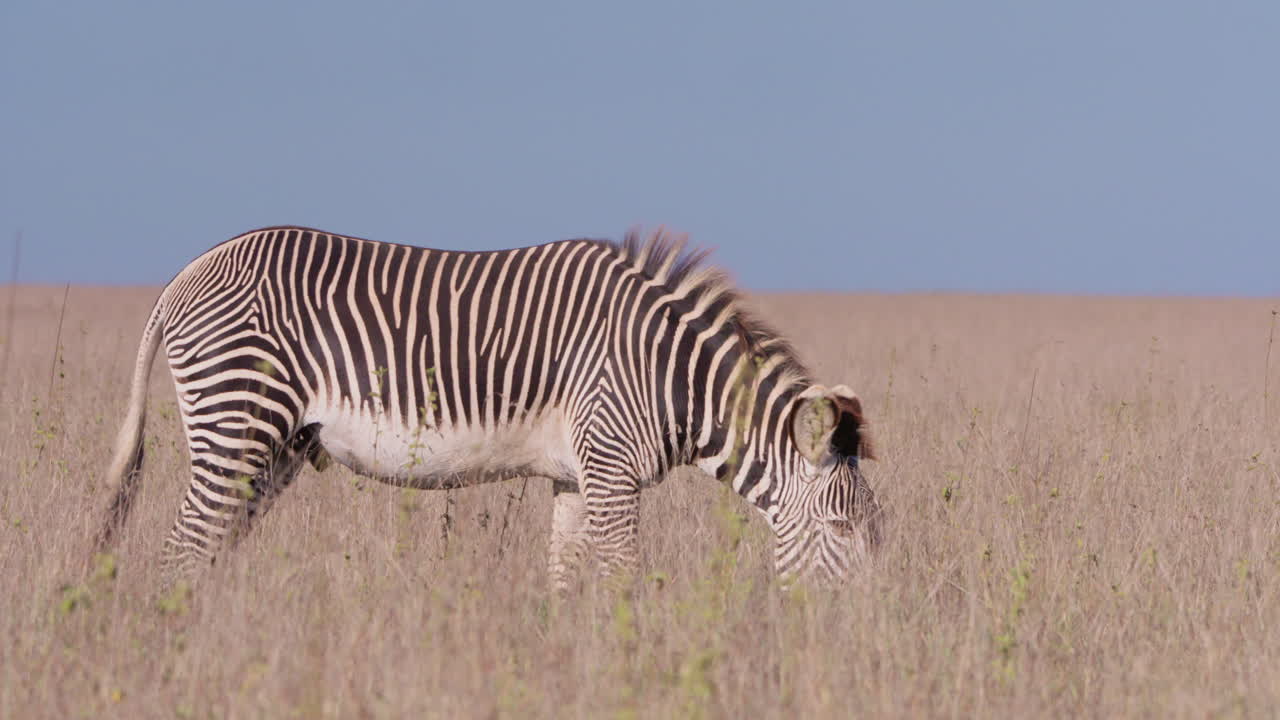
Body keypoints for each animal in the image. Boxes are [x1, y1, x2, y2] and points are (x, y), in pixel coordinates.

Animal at [93, 227, 881, 589]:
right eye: (843, 528)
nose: (860, 633)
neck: (666, 370)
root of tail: (188, 272)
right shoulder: (614, 471)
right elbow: (622, 584)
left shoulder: (578, 476)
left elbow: (566, 585)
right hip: (237, 420)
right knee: (180, 554)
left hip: (275, 447)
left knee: (205, 554)